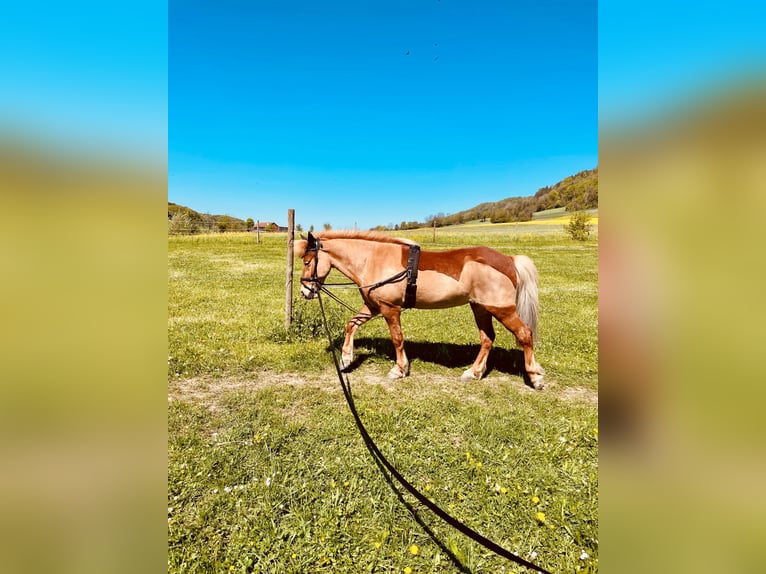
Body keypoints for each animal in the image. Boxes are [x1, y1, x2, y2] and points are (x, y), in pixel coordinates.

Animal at [296, 230, 545, 389]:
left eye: (307, 261)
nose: (305, 291)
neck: (372, 259)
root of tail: (509, 259)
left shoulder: (389, 309)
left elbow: (397, 339)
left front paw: (399, 370)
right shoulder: (373, 306)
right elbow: (351, 324)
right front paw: (346, 359)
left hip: (501, 310)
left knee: (525, 334)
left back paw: (534, 377)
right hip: (480, 309)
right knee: (487, 339)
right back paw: (473, 373)